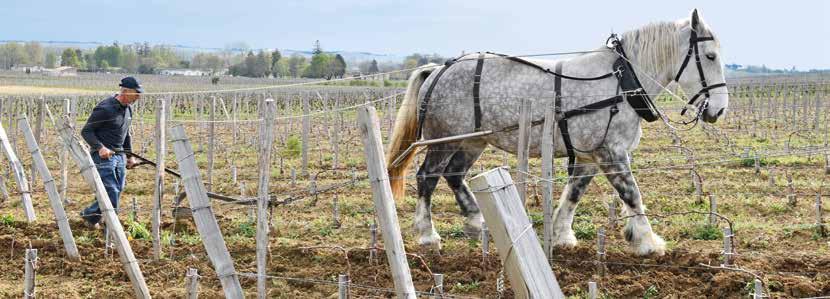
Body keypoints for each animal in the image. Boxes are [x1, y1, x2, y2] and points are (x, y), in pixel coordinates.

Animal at [388, 10, 728, 256]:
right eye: (710, 56)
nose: (719, 109)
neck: (620, 81)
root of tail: (438, 69)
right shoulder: (610, 151)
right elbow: (632, 194)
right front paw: (648, 241)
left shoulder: (589, 155)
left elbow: (574, 193)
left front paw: (562, 236)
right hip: (444, 140)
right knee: (427, 177)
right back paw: (428, 235)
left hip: (474, 141)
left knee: (455, 175)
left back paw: (477, 223)